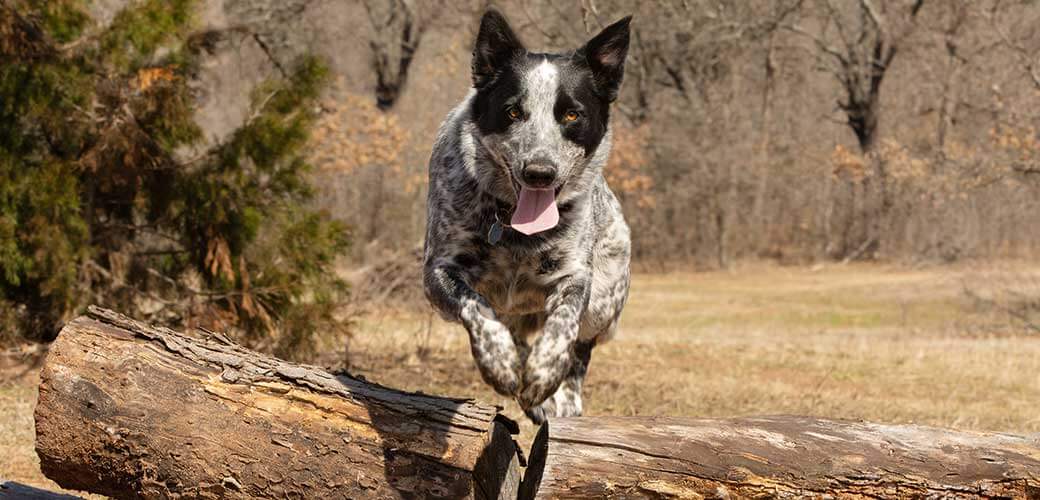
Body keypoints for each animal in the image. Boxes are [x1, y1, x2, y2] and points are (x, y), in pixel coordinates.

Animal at [422, 8, 632, 419]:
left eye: (571, 115)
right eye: (513, 111)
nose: (539, 172)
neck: (514, 231)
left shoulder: (574, 276)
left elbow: (564, 323)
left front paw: (545, 373)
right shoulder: (438, 272)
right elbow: (476, 306)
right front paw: (500, 362)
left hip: (605, 299)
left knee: (581, 350)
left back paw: (562, 400)